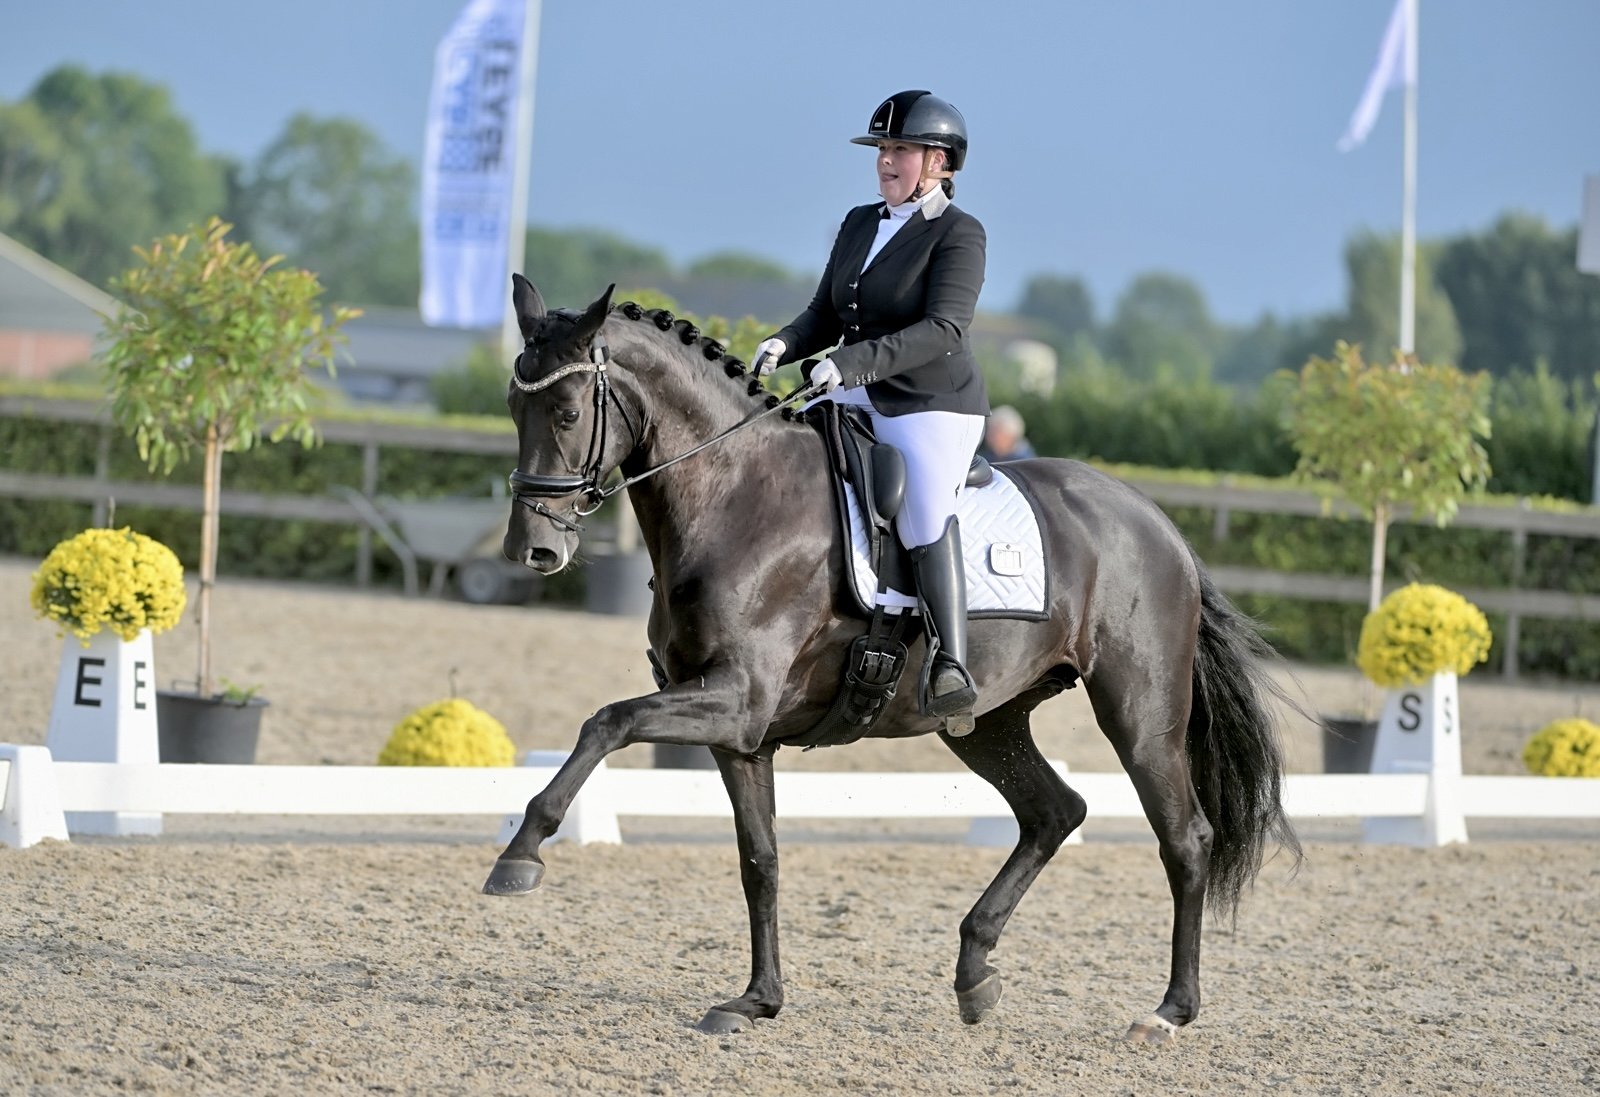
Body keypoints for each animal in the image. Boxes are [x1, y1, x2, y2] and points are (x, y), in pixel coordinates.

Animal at [485, 276, 1302, 1043]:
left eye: (566, 413)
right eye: (513, 406)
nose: (532, 549)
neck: (737, 497)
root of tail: (1157, 522)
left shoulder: (735, 699)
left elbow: (606, 722)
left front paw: (520, 853)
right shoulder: (739, 733)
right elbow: (761, 861)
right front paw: (756, 1000)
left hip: (1140, 712)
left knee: (1185, 840)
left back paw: (1167, 1011)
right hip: (988, 720)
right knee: (1053, 810)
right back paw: (975, 972)